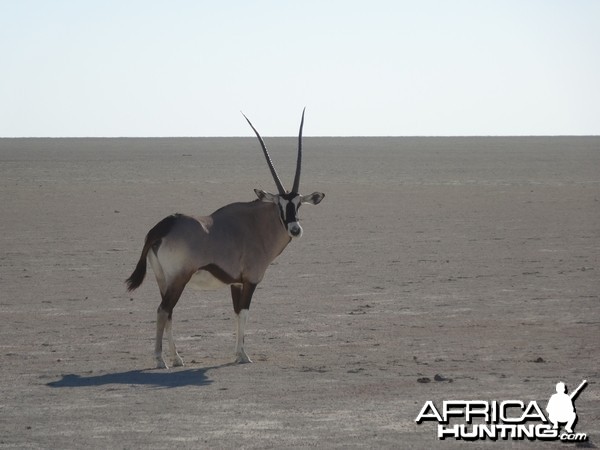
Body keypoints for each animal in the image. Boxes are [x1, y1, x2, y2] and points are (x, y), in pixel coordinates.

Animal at [124, 110, 326, 368]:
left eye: (299, 204)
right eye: (280, 205)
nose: (295, 229)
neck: (255, 226)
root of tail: (162, 227)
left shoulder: (235, 282)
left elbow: (236, 314)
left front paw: (237, 353)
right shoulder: (250, 280)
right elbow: (245, 313)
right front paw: (244, 355)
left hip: (163, 279)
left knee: (168, 312)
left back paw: (177, 358)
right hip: (179, 279)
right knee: (163, 310)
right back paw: (161, 360)